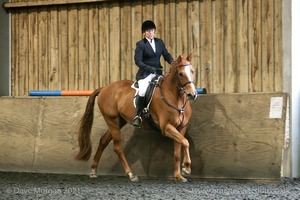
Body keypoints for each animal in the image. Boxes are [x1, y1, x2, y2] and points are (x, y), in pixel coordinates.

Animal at [75, 54, 197, 182]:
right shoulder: (166, 127)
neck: (175, 98)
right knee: (117, 147)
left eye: (192, 71)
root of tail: (104, 88)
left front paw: (179, 175)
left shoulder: (181, 128)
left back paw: (93, 170)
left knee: (103, 141)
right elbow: (185, 142)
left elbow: (179, 149)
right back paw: (130, 174)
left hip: (118, 121)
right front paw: (187, 168)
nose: (192, 94)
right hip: (112, 120)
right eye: (181, 74)